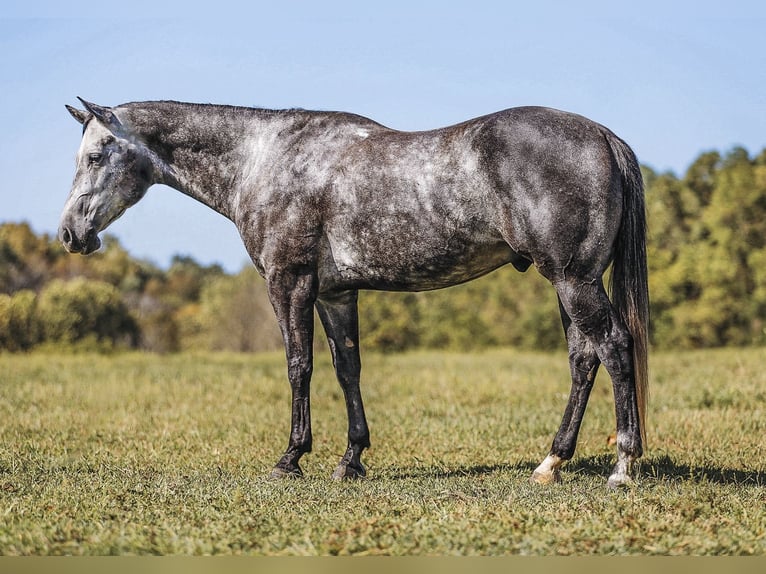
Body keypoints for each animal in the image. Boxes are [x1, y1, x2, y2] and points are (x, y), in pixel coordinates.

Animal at [58, 99, 648, 490]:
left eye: (96, 156)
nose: (70, 234)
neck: (264, 159)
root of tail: (601, 135)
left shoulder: (288, 283)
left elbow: (299, 365)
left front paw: (291, 458)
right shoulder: (335, 294)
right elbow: (348, 370)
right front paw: (351, 459)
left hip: (573, 280)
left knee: (615, 348)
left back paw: (622, 466)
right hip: (568, 284)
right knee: (583, 359)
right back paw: (551, 463)